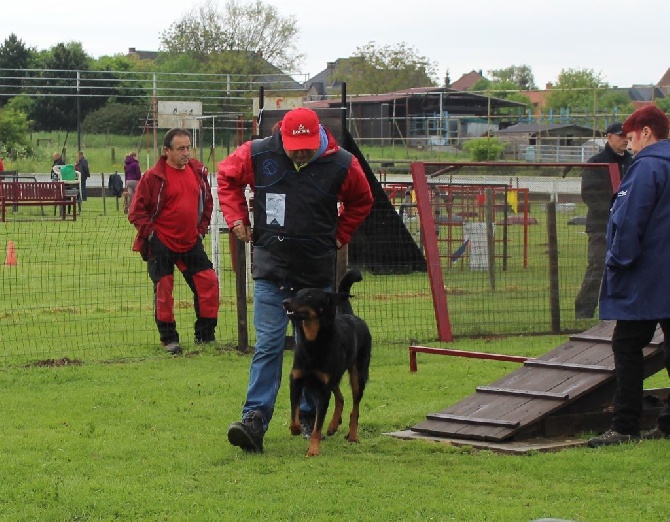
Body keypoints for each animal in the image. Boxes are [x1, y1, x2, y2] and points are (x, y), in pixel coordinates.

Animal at [282, 268, 372, 456]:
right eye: (297, 293)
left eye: (309, 295)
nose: (285, 302)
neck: (313, 342)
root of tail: (350, 315)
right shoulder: (296, 380)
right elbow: (295, 413)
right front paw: (296, 429)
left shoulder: (323, 388)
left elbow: (318, 425)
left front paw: (313, 450)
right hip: (332, 377)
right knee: (340, 397)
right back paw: (333, 425)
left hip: (357, 375)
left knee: (355, 407)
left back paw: (353, 435)